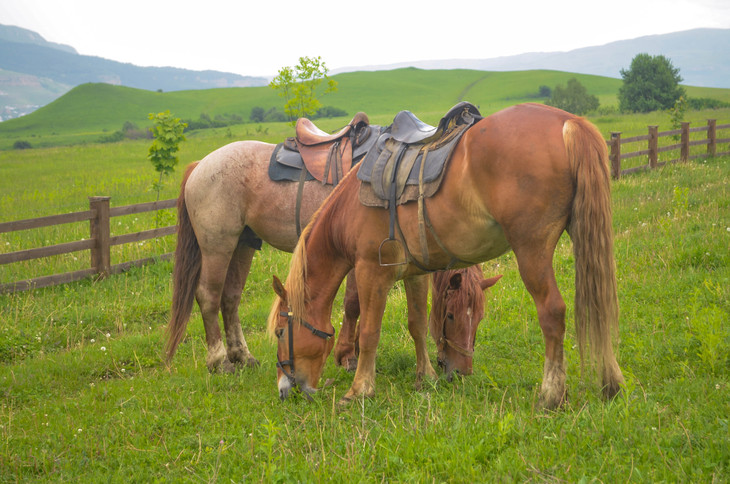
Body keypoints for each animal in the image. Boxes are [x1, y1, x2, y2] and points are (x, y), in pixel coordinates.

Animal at [270, 103, 624, 408]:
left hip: (531, 250)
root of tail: (569, 122)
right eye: (454, 316)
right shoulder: (414, 274)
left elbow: (370, 332)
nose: (285, 389)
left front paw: (359, 390)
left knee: (552, 312)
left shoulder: (372, 272)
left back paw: (551, 395)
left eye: (280, 332)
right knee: (600, 304)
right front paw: (424, 377)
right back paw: (611, 384)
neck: (349, 210)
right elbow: (417, 324)